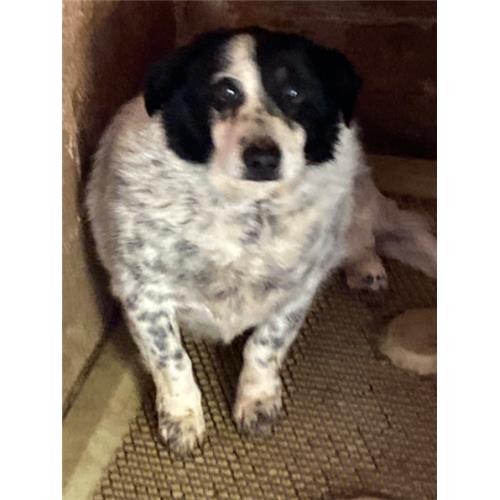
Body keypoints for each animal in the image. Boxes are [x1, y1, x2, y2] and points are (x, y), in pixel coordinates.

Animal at [86, 27, 436, 453]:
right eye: (224, 93)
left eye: (295, 93)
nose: (263, 157)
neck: (248, 212)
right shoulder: (143, 296)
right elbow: (172, 360)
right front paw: (182, 419)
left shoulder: (296, 292)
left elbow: (264, 346)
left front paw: (257, 402)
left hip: (356, 207)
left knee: (364, 236)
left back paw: (365, 267)